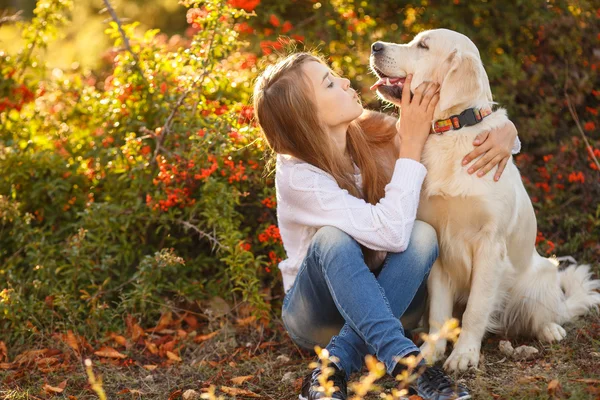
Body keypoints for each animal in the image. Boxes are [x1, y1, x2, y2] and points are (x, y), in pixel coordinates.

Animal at [364, 28, 600, 372]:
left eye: (423, 46)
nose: (375, 46)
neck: (452, 131)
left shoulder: (490, 244)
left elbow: (476, 308)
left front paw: (464, 354)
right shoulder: (440, 244)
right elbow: (439, 312)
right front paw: (432, 352)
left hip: (541, 275)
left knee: (545, 313)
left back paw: (550, 329)